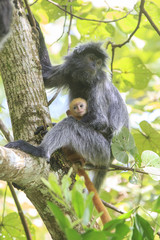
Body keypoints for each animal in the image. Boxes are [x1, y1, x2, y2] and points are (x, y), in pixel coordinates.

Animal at [5, 21, 129, 192]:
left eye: (98, 63)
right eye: (91, 58)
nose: (94, 65)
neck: (84, 80)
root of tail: (111, 159)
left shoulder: (99, 85)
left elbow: (101, 121)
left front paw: (51, 127)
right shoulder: (68, 71)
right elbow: (45, 76)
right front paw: (34, 23)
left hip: (100, 149)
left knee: (70, 125)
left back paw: (40, 150)